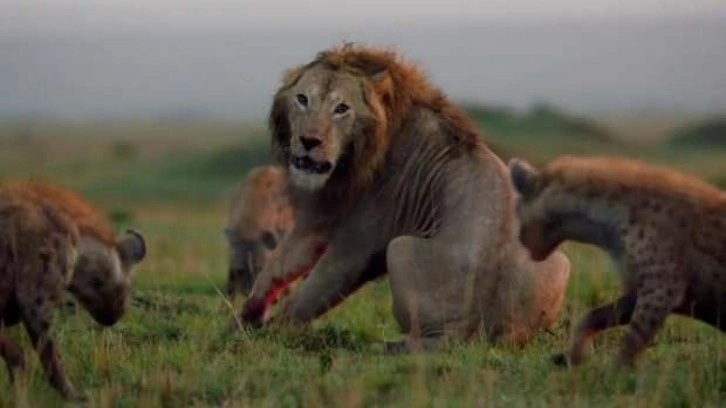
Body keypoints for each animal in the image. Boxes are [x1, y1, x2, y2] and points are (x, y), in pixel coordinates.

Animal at [236, 43, 572, 350]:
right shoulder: (321, 217)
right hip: (560, 261)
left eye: (341, 108)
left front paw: (268, 337)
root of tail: (475, 330)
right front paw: (244, 319)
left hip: (399, 248)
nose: (309, 141)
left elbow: (310, 293)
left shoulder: (357, 242)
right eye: (303, 99)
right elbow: (276, 268)